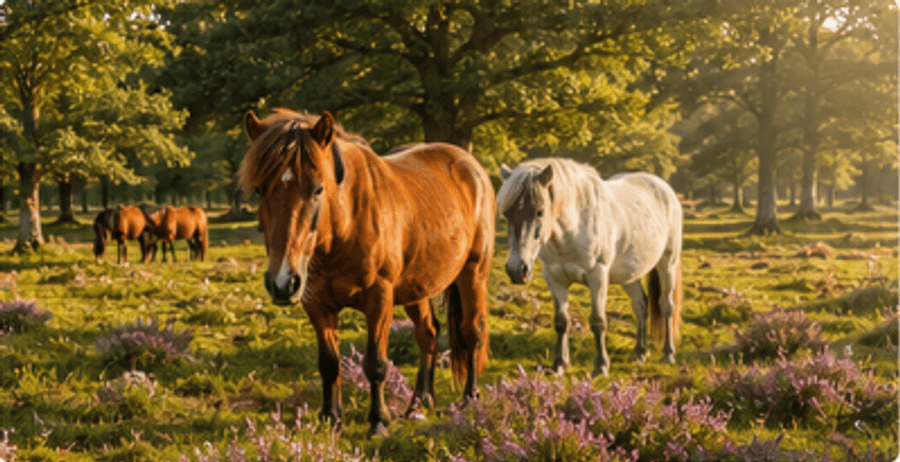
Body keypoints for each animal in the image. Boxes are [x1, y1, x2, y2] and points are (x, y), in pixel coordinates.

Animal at [238, 108, 494, 437]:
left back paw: (469, 399)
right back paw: (419, 403)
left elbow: (376, 364)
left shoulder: (379, 300)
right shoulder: (317, 304)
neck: (346, 223)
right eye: (260, 189)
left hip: (472, 274)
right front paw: (331, 420)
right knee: (428, 334)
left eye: (318, 188)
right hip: (417, 288)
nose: (283, 283)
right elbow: (329, 363)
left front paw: (379, 422)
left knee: (472, 332)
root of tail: (469, 165)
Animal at [497, 158, 682, 377]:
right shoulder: (555, 279)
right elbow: (561, 322)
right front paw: (559, 364)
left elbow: (598, 321)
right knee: (640, 306)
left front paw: (601, 366)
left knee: (666, 306)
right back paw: (639, 353)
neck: (574, 228)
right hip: (629, 274)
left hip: (667, 265)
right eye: (506, 214)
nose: (516, 270)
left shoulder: (598, 277)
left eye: (539, 212)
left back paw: (668, 354)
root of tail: (665, 188)